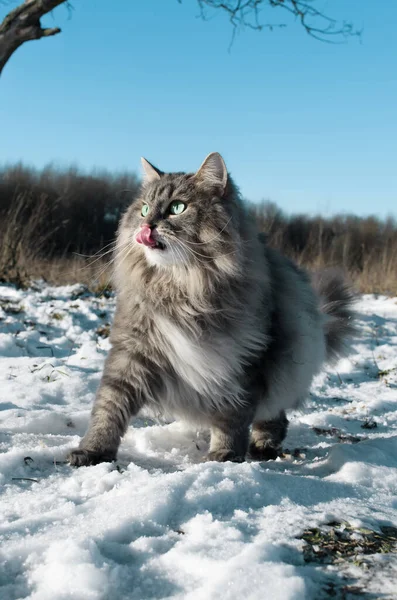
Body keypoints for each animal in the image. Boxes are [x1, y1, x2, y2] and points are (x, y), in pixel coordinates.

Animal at [66, 152, 354, 466]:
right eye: (144, 210)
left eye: (177, 208)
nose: (147, 226)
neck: (184, 287)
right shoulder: (133, 351)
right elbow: (109, 407)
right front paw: (93, 450)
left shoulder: (242, 361)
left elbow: (232, 417)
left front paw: (224, 454)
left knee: (274, 416)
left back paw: (263, 446)